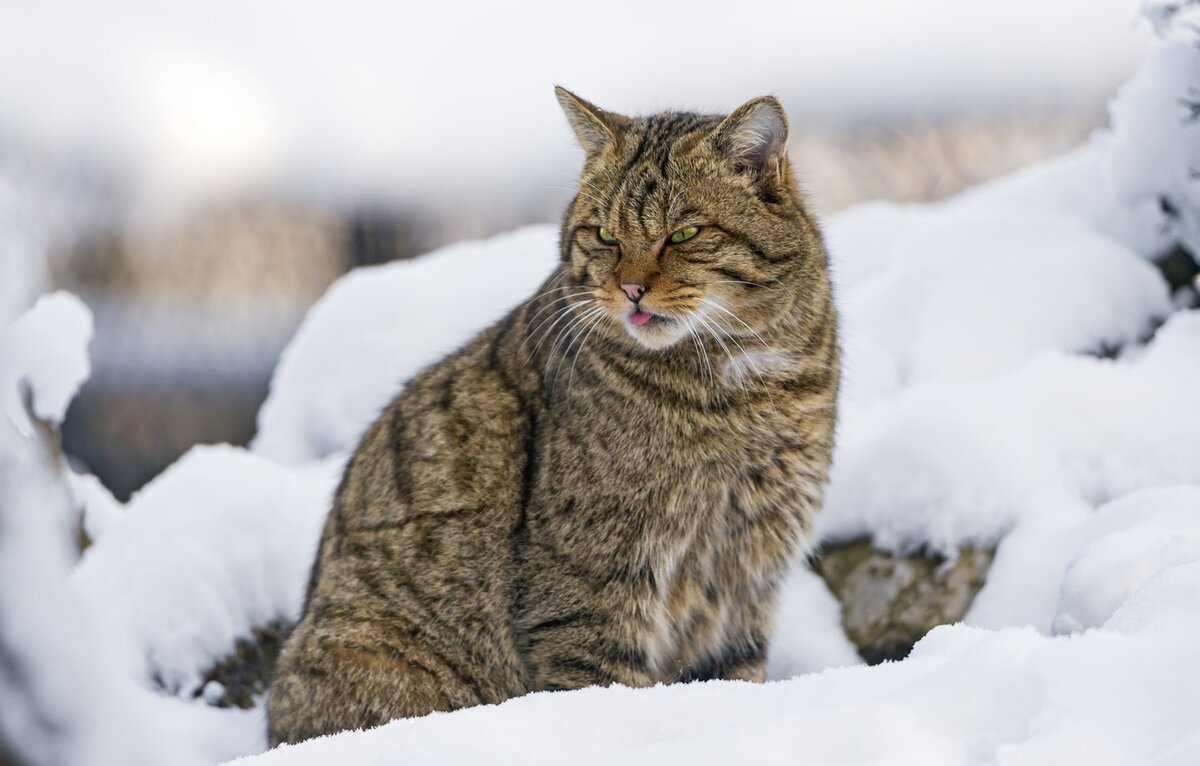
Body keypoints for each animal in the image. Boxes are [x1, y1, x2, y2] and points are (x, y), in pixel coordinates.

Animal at [267, 87, 840, 749]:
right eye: (605, 234)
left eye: (685, 232)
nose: (631, 288)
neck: (741, 384)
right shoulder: (587, 583)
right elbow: (602, 691)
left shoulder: (750, 573)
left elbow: (735, 676)